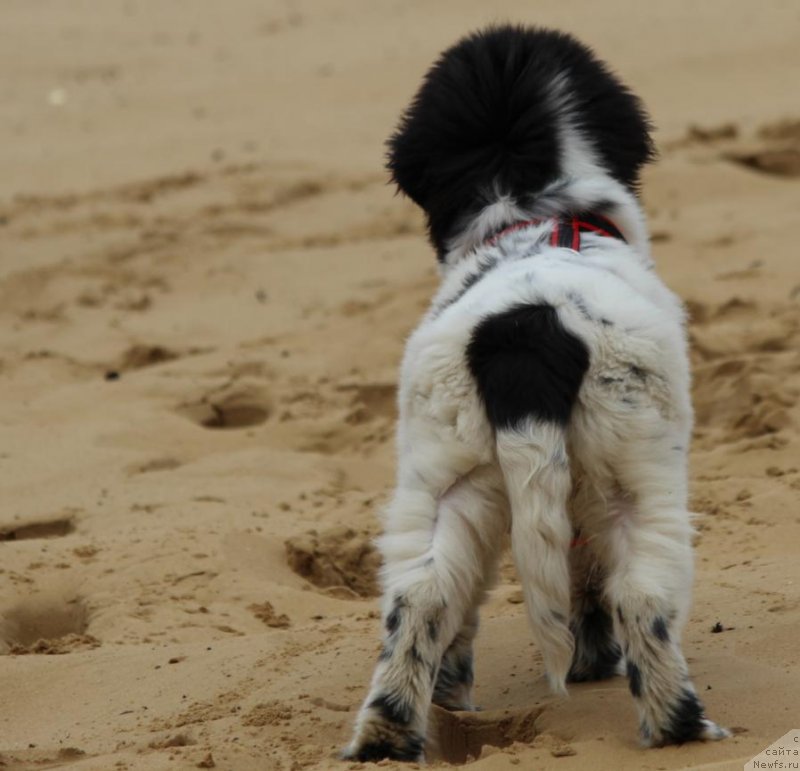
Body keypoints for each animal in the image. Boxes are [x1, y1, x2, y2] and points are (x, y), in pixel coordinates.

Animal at [340, 25, 728, 764]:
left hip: (444, 473)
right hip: (640, 476)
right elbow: (590, 580)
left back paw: (389, 737)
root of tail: (525, 328)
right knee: (643, 597)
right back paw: (682, 727)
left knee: (421, 595)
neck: (530, 216)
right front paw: (593, 660)